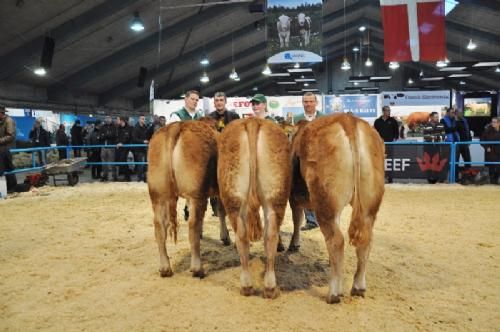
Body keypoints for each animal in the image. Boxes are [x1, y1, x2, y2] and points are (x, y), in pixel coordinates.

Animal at [146, 120, 229, 278]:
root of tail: (177, 126)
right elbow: (221, 210)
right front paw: (225, 237)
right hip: (195, 193)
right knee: (193, 224)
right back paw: (197, 268)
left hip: (158, 194)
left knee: (159, 226)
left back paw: (165, 268)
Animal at [217, 117, 292, 298]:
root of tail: (253, 121)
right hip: (274, 197)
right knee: (269, 235)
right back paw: (268, 287)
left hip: (235, 200)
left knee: (242, 237)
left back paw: (248, 286)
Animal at [288, 114, 384, 304]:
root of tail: (348, 120)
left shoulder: (292, 197)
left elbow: (296, 219)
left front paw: (294, 244)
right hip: (368, 204)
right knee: (366, 240)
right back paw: (358, 287)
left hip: (325, 202)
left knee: (336, 240)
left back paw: (333, 293)